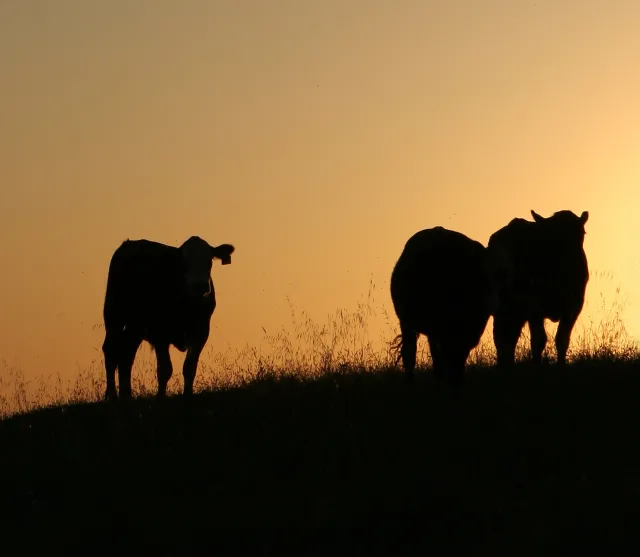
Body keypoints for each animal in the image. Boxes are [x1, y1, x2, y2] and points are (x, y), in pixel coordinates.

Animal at [101, 236, 235, 400]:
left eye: (209, 261)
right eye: (183, 262)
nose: (199, 285)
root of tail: (129, 244)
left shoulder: (201, 332)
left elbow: (189, 367)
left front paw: (187, 395)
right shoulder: (160, 333)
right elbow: (165, 370)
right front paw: (160, 397)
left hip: (135, 326)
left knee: (126, 355)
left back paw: (126, 395)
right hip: (113, 315)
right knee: (110, 350)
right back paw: (113, 395)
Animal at [487, 209, 589, 367]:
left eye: (582, 233)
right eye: (550, 234)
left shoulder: (573, 306)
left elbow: (562, 339)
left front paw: (561, 365)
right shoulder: (534, 307)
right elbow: (539, 340)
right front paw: (536, 365)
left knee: (509, 336)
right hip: (504, 308)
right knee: (502, 337)